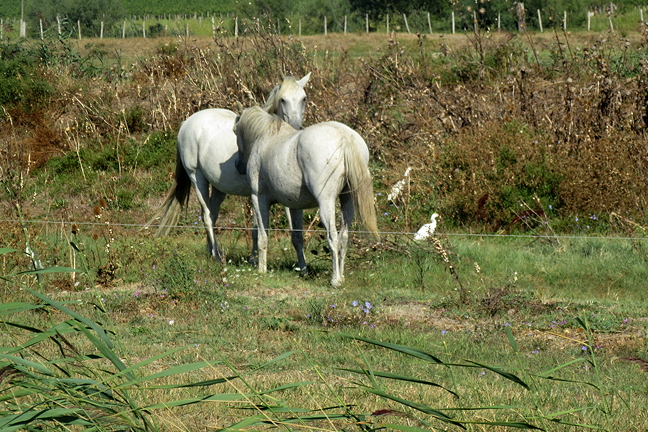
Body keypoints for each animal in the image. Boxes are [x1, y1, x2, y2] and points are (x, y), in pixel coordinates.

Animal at [150, 73, 311, 263]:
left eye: (303, 98)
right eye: (283, 99)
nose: (296, 127)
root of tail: (186, 123)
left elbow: (290, 231)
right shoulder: (259, 194)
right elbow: (261, 228)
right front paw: (255, 260)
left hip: (219, 188)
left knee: (212, 214)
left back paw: (212, 251)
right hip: (197, 178)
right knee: (206, 216)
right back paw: (217, 256)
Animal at [233, 105, 379, 287]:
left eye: (234, 131)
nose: (237, 166)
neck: (266, 137)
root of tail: (345, 136)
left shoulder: (258, 198)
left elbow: (262, 236)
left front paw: (261, 270)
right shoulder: (294, 206)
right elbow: (297, 238)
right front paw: (303, 270)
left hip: (326, 203)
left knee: (333, 237)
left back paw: (335, 280)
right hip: (348, 201)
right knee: (344, 237)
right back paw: (342, 276)